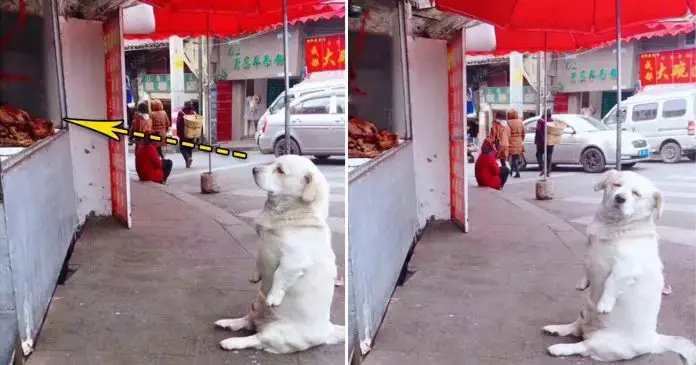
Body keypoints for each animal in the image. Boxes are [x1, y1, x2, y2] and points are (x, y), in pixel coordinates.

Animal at [212, 154, 342, 352]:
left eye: (280, 170)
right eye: (273, 162)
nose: (254, 169)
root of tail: (328, 331)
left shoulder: (295, 260)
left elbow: (280, 275)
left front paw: (274, 297)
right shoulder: (262, 246)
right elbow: (258, 260)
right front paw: (255, 276)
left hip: (276, 331)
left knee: (256, 338)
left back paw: (231, 342)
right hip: (256, 303)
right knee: (248, 321)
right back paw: (228, 323)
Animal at [544, 169, 696, 362]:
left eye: (636, 193)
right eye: (616, 185)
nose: (620, 198)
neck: (615, 227)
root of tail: (654, 341)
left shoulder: (627, 267)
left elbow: (612, 281)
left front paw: (605, 303)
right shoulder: (590, 252)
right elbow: (586, 265)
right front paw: (582, 283)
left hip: (602, 342)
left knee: (582, 345)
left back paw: (559, 348)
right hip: (584, 311)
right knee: (575, 327)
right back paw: (556, 329)